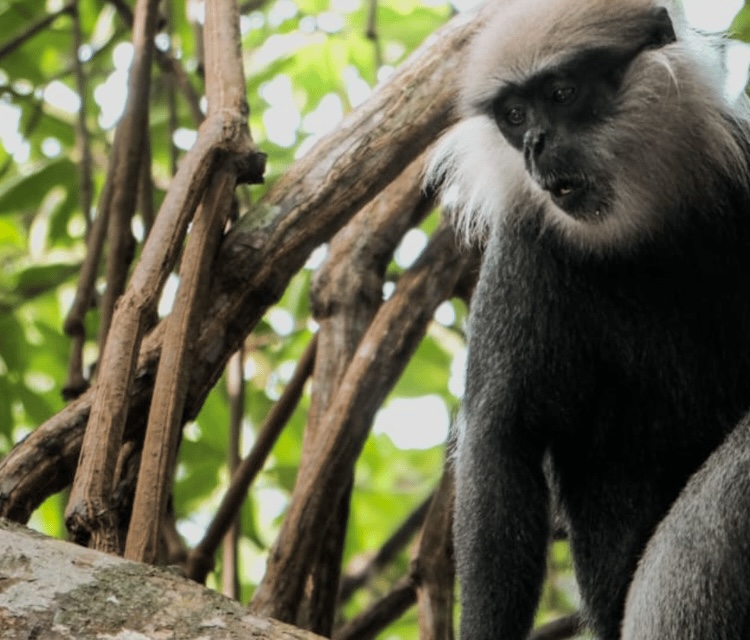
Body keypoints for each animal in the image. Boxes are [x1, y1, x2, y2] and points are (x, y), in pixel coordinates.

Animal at [427, 1, 750, 638]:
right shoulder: (523, 248)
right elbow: (501, 440)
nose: (534, 143)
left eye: (562, 93)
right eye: (515, 115)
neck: (642, 230)